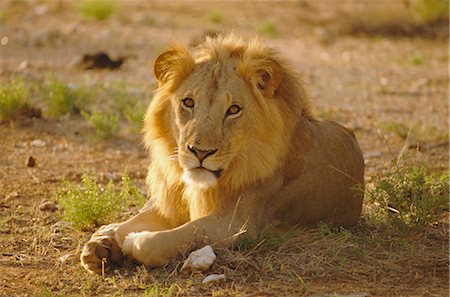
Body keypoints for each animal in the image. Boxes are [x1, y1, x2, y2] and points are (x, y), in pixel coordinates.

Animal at [79, 34, 364, 272]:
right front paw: (102, 244)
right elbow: (136, 220)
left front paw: (131, 243)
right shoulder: (170, 201)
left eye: (233, 110)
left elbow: (170, 239)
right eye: (188, 103)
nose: (200, 152)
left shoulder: (238, 224)